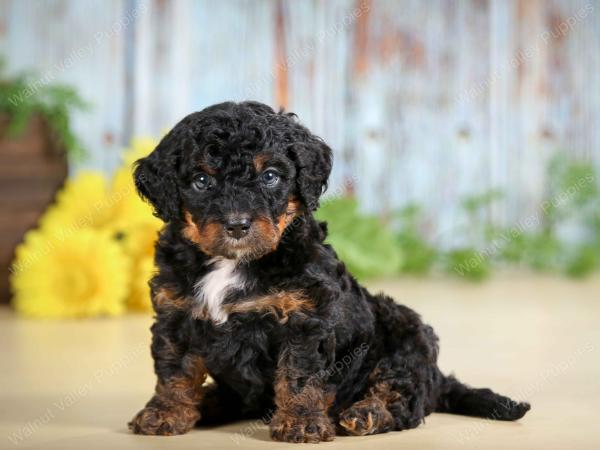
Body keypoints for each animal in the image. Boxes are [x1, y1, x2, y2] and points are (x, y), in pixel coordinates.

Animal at [127, 100, 528, 442]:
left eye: (270, 176)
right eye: (201, 181)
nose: (237, 225)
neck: (233, 262)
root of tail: (438, 378)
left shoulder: (306, 318)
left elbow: (300, 375)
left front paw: (301, 422)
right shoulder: (176, 314)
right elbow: (175, 370)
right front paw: (165, 413)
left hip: (406, 337)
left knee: (402, 401)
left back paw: (366, 413)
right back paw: (208, 402)